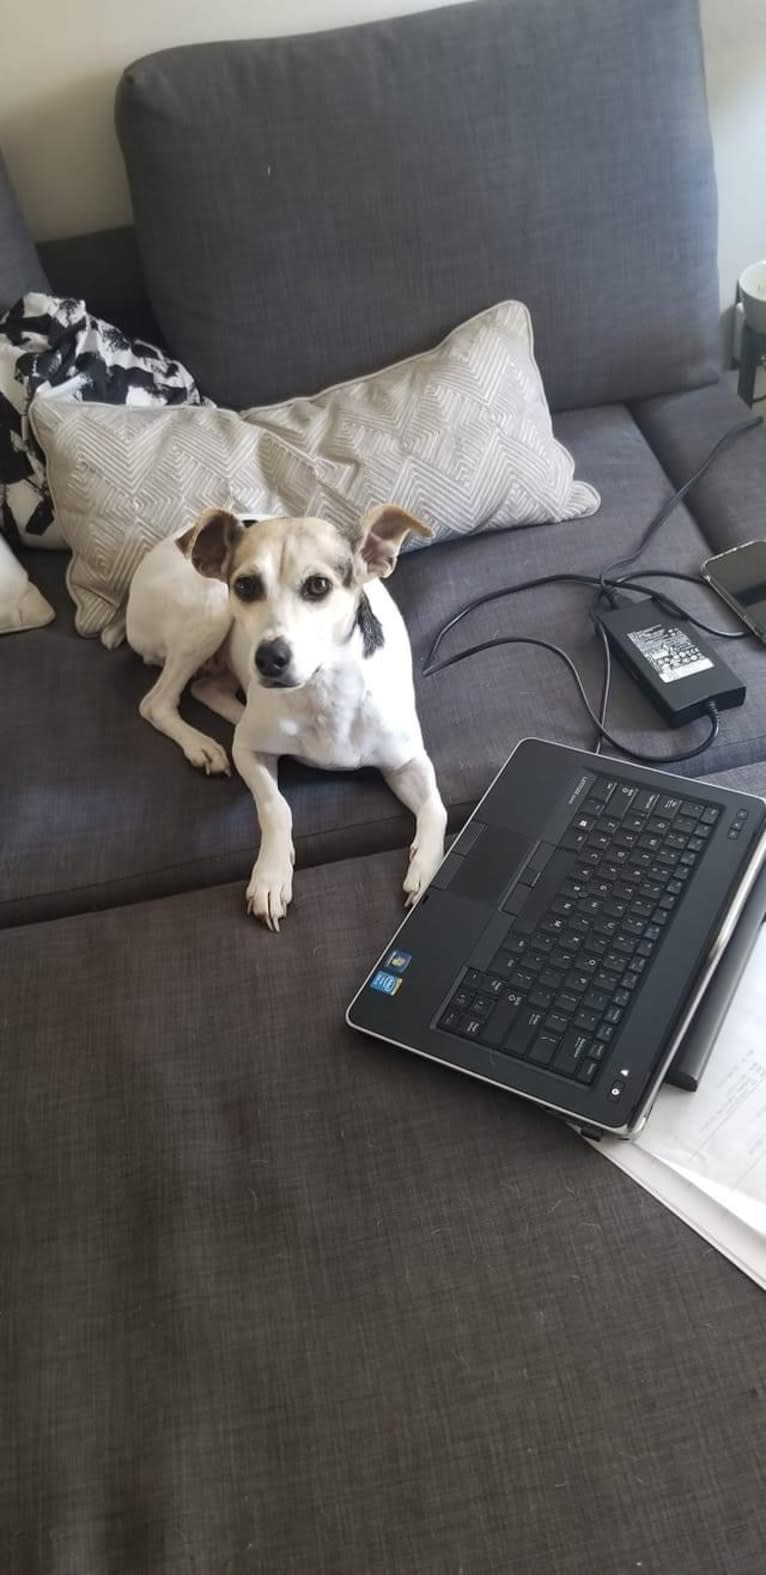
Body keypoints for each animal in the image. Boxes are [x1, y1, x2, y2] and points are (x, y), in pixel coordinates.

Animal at [126, 500, 447, 919]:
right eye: (245, 585)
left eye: (319, 585)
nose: (268, 658)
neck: (323, 691)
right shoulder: (250, 753)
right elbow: (275, 807)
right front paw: (271, 876)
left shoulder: (407, 762)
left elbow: (437, 810)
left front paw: (426, 869)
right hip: (210, 609)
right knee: (158, 702)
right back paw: (202, 745)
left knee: (204, 687)